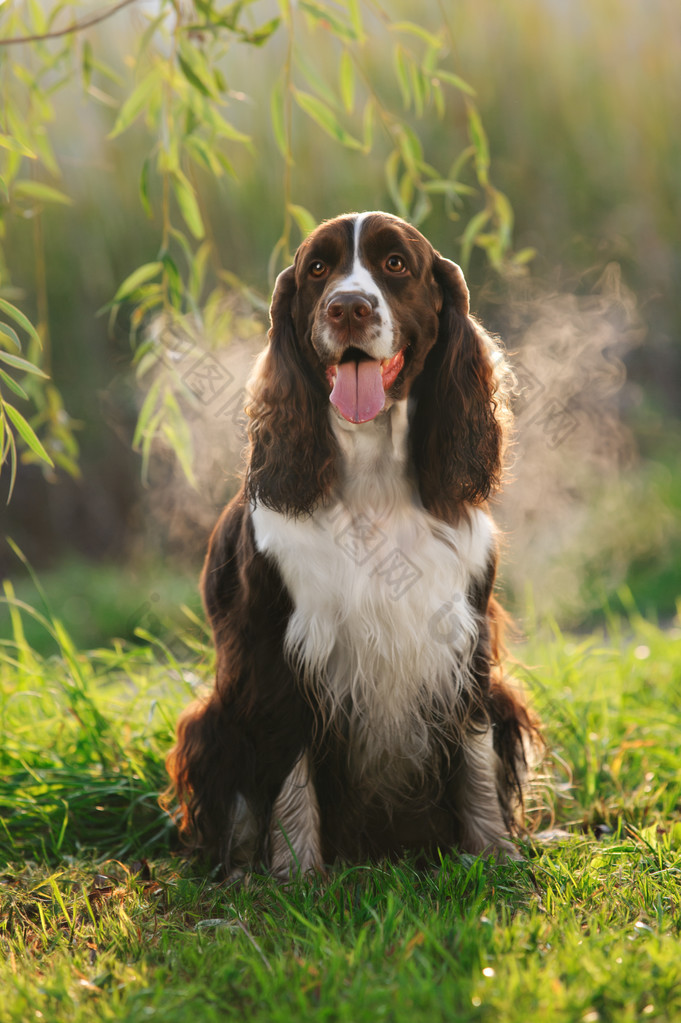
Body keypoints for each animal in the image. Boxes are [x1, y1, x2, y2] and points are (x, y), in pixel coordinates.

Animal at [164, 211, 535, 875]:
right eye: (318, 268)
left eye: (396, 264)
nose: (348, 308)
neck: (373, 479)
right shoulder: (281, 649)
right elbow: (289, 775)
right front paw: (296, 875)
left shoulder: (462, 644)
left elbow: (473, 759)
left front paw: (494, 854)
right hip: (215, 717)